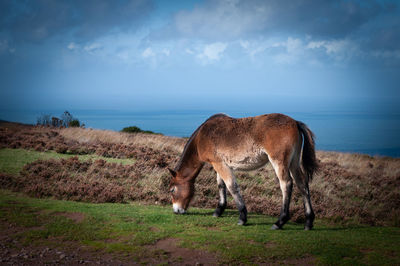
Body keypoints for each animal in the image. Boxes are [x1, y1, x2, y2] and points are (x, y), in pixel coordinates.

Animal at [167, 113, 318, 230]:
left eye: (172, 190)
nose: (176, 210)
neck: (202, 137)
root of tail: (295, 123)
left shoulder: (219, 164)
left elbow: (231, 186)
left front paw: (242, 218)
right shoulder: (220, 164)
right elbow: (221, 185)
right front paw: (219, 210)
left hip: (279, 162)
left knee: (286, 184)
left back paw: (280, 222)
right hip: (294, 162)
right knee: (302, 184)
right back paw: (308, 222)